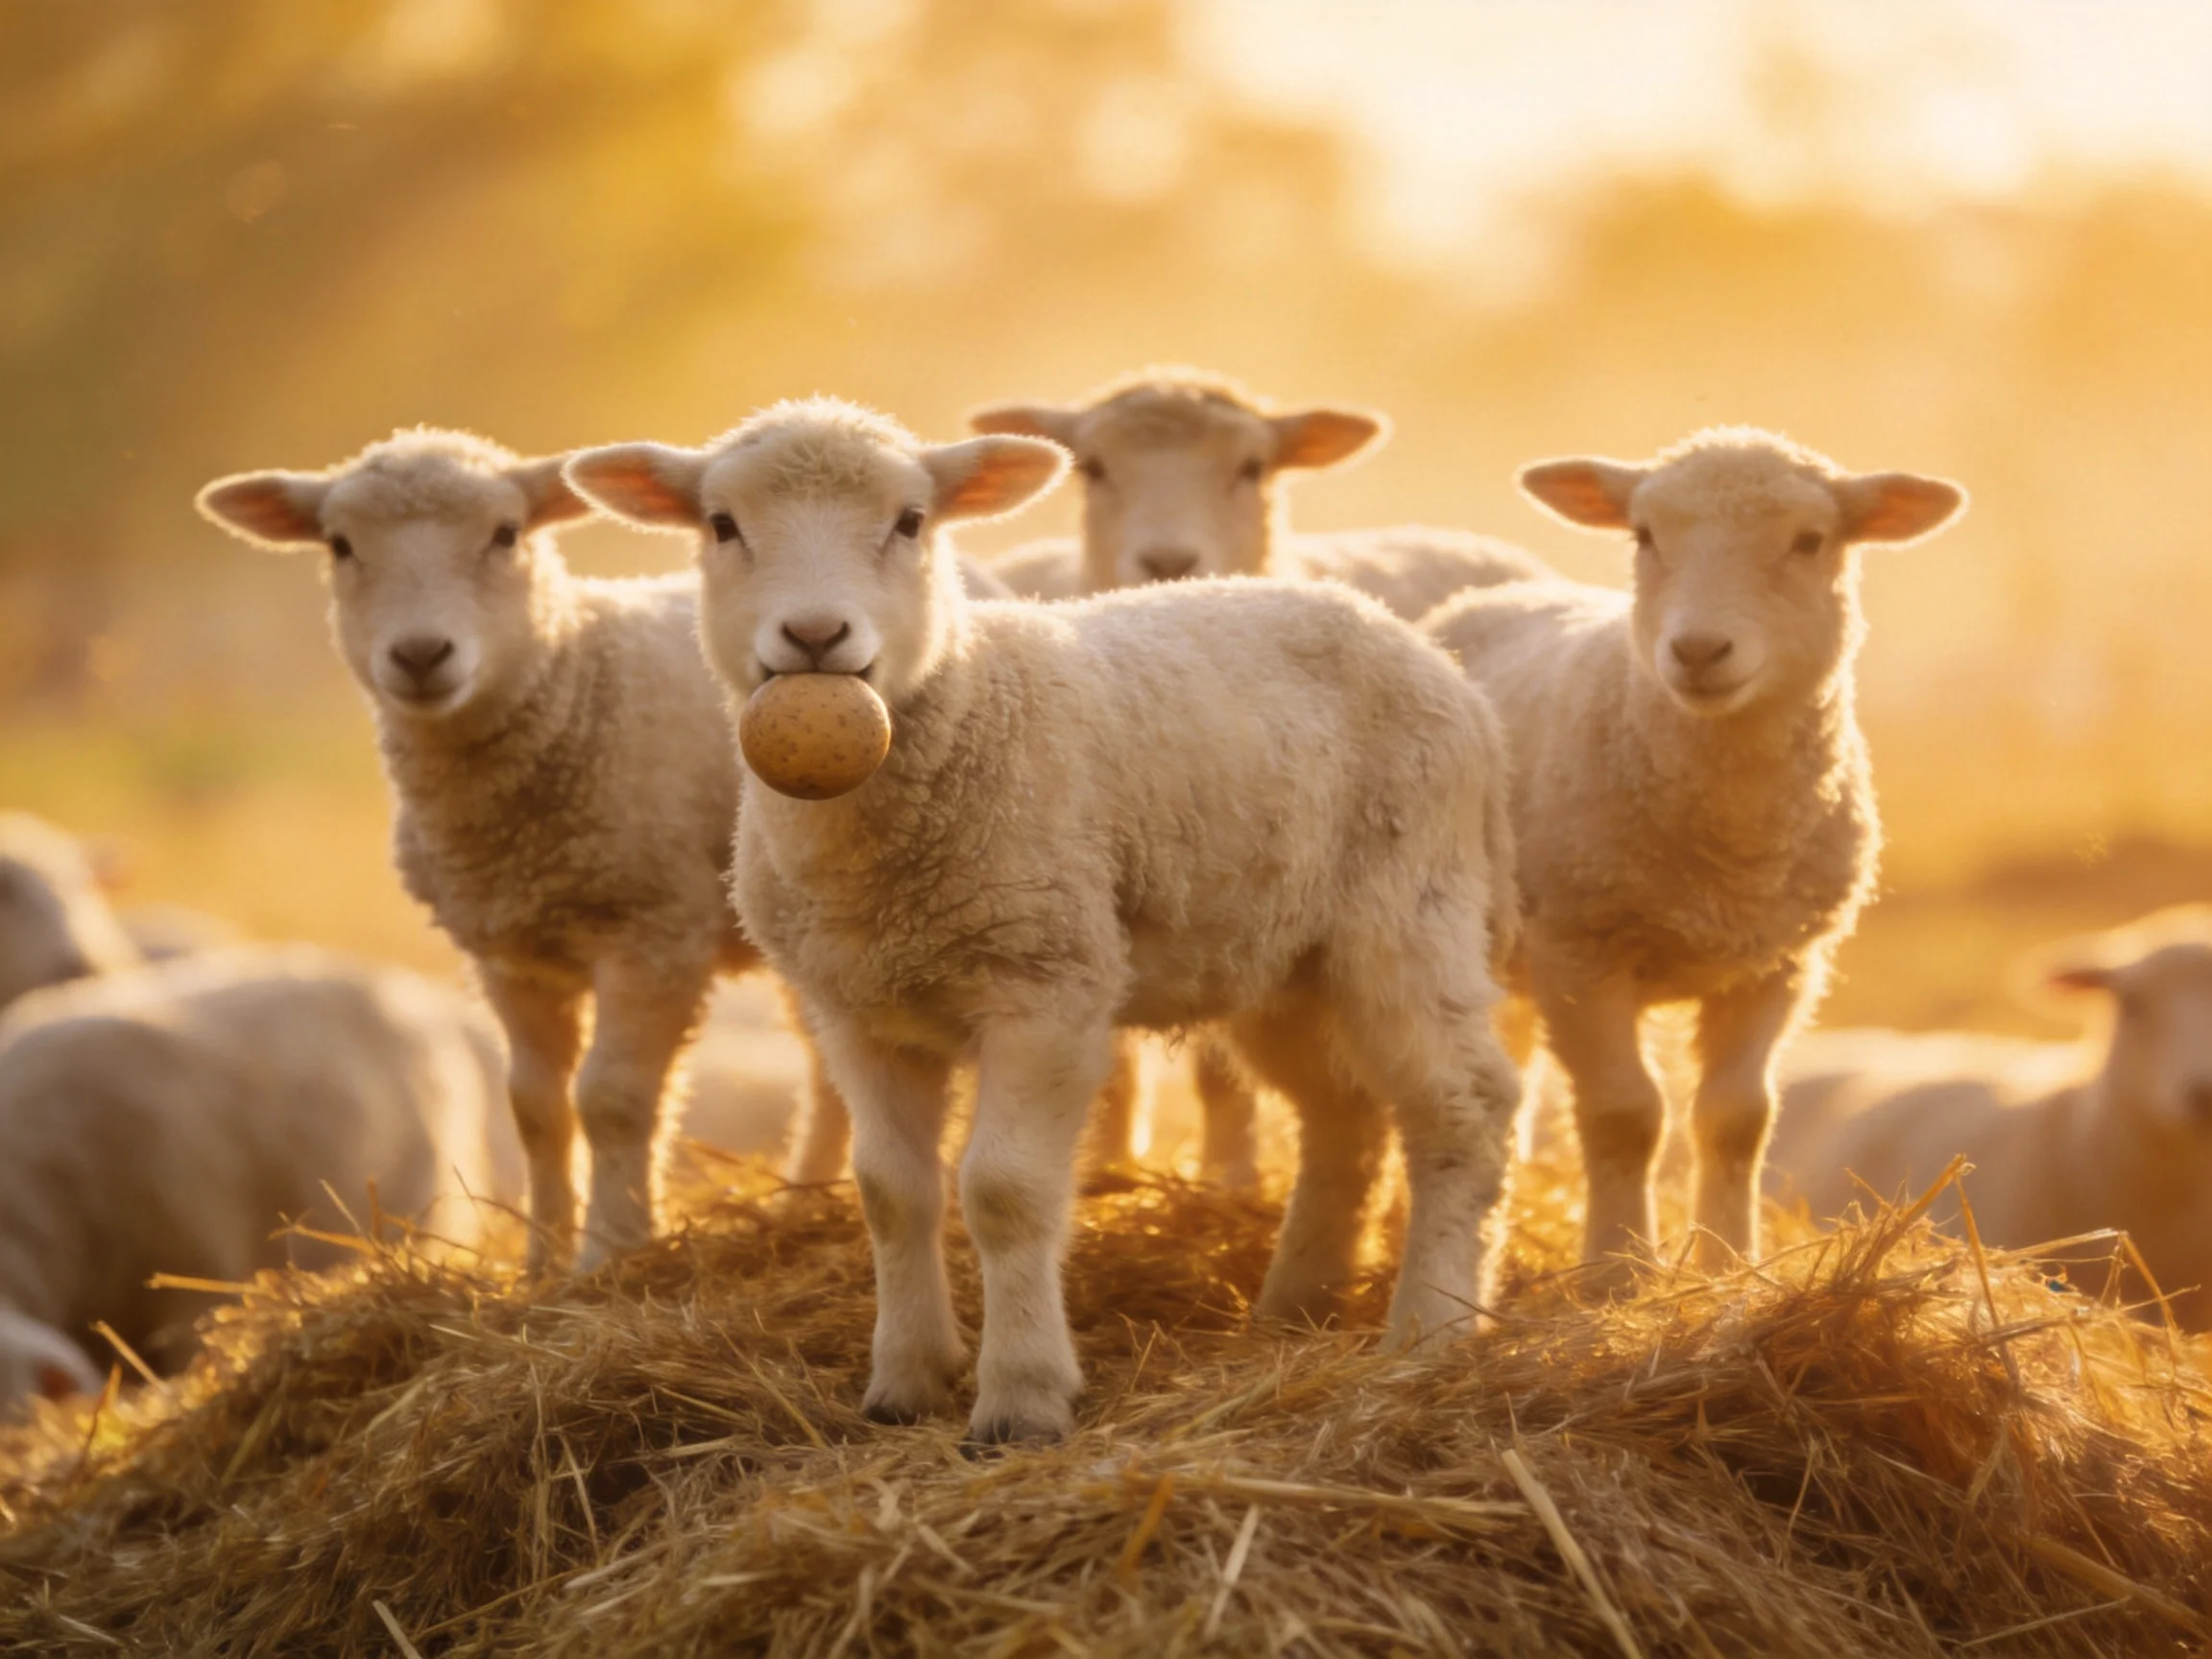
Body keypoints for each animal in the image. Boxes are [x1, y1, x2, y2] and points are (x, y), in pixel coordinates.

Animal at [196, 428, 873, 1272]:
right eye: (341, 544)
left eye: (505, 534)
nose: (421, 654)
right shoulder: (509, 952)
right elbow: (536, 1107)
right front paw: (542, 1263)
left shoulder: (655, 931)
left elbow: (612, 1099)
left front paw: (611, 1253)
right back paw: (805, 1200)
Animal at [971, 369, 1549, 1190]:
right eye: (1094, 466)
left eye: (1252, 468)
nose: (1170, 559)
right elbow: (1113, 1064)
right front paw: (1107, 1168)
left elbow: (1220, 1069)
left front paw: (1230, 1174)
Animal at [1425, 428, 1966, 1277]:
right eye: (1645, 536)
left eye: (1810, 541)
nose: (1700, 648)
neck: (1728, 855)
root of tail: (1487, 598)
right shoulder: (1579, 949)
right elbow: (1624, 1113)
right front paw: (1617, 1270)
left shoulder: (1780, 962)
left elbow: (1737, 1117)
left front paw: (1726, 1262)